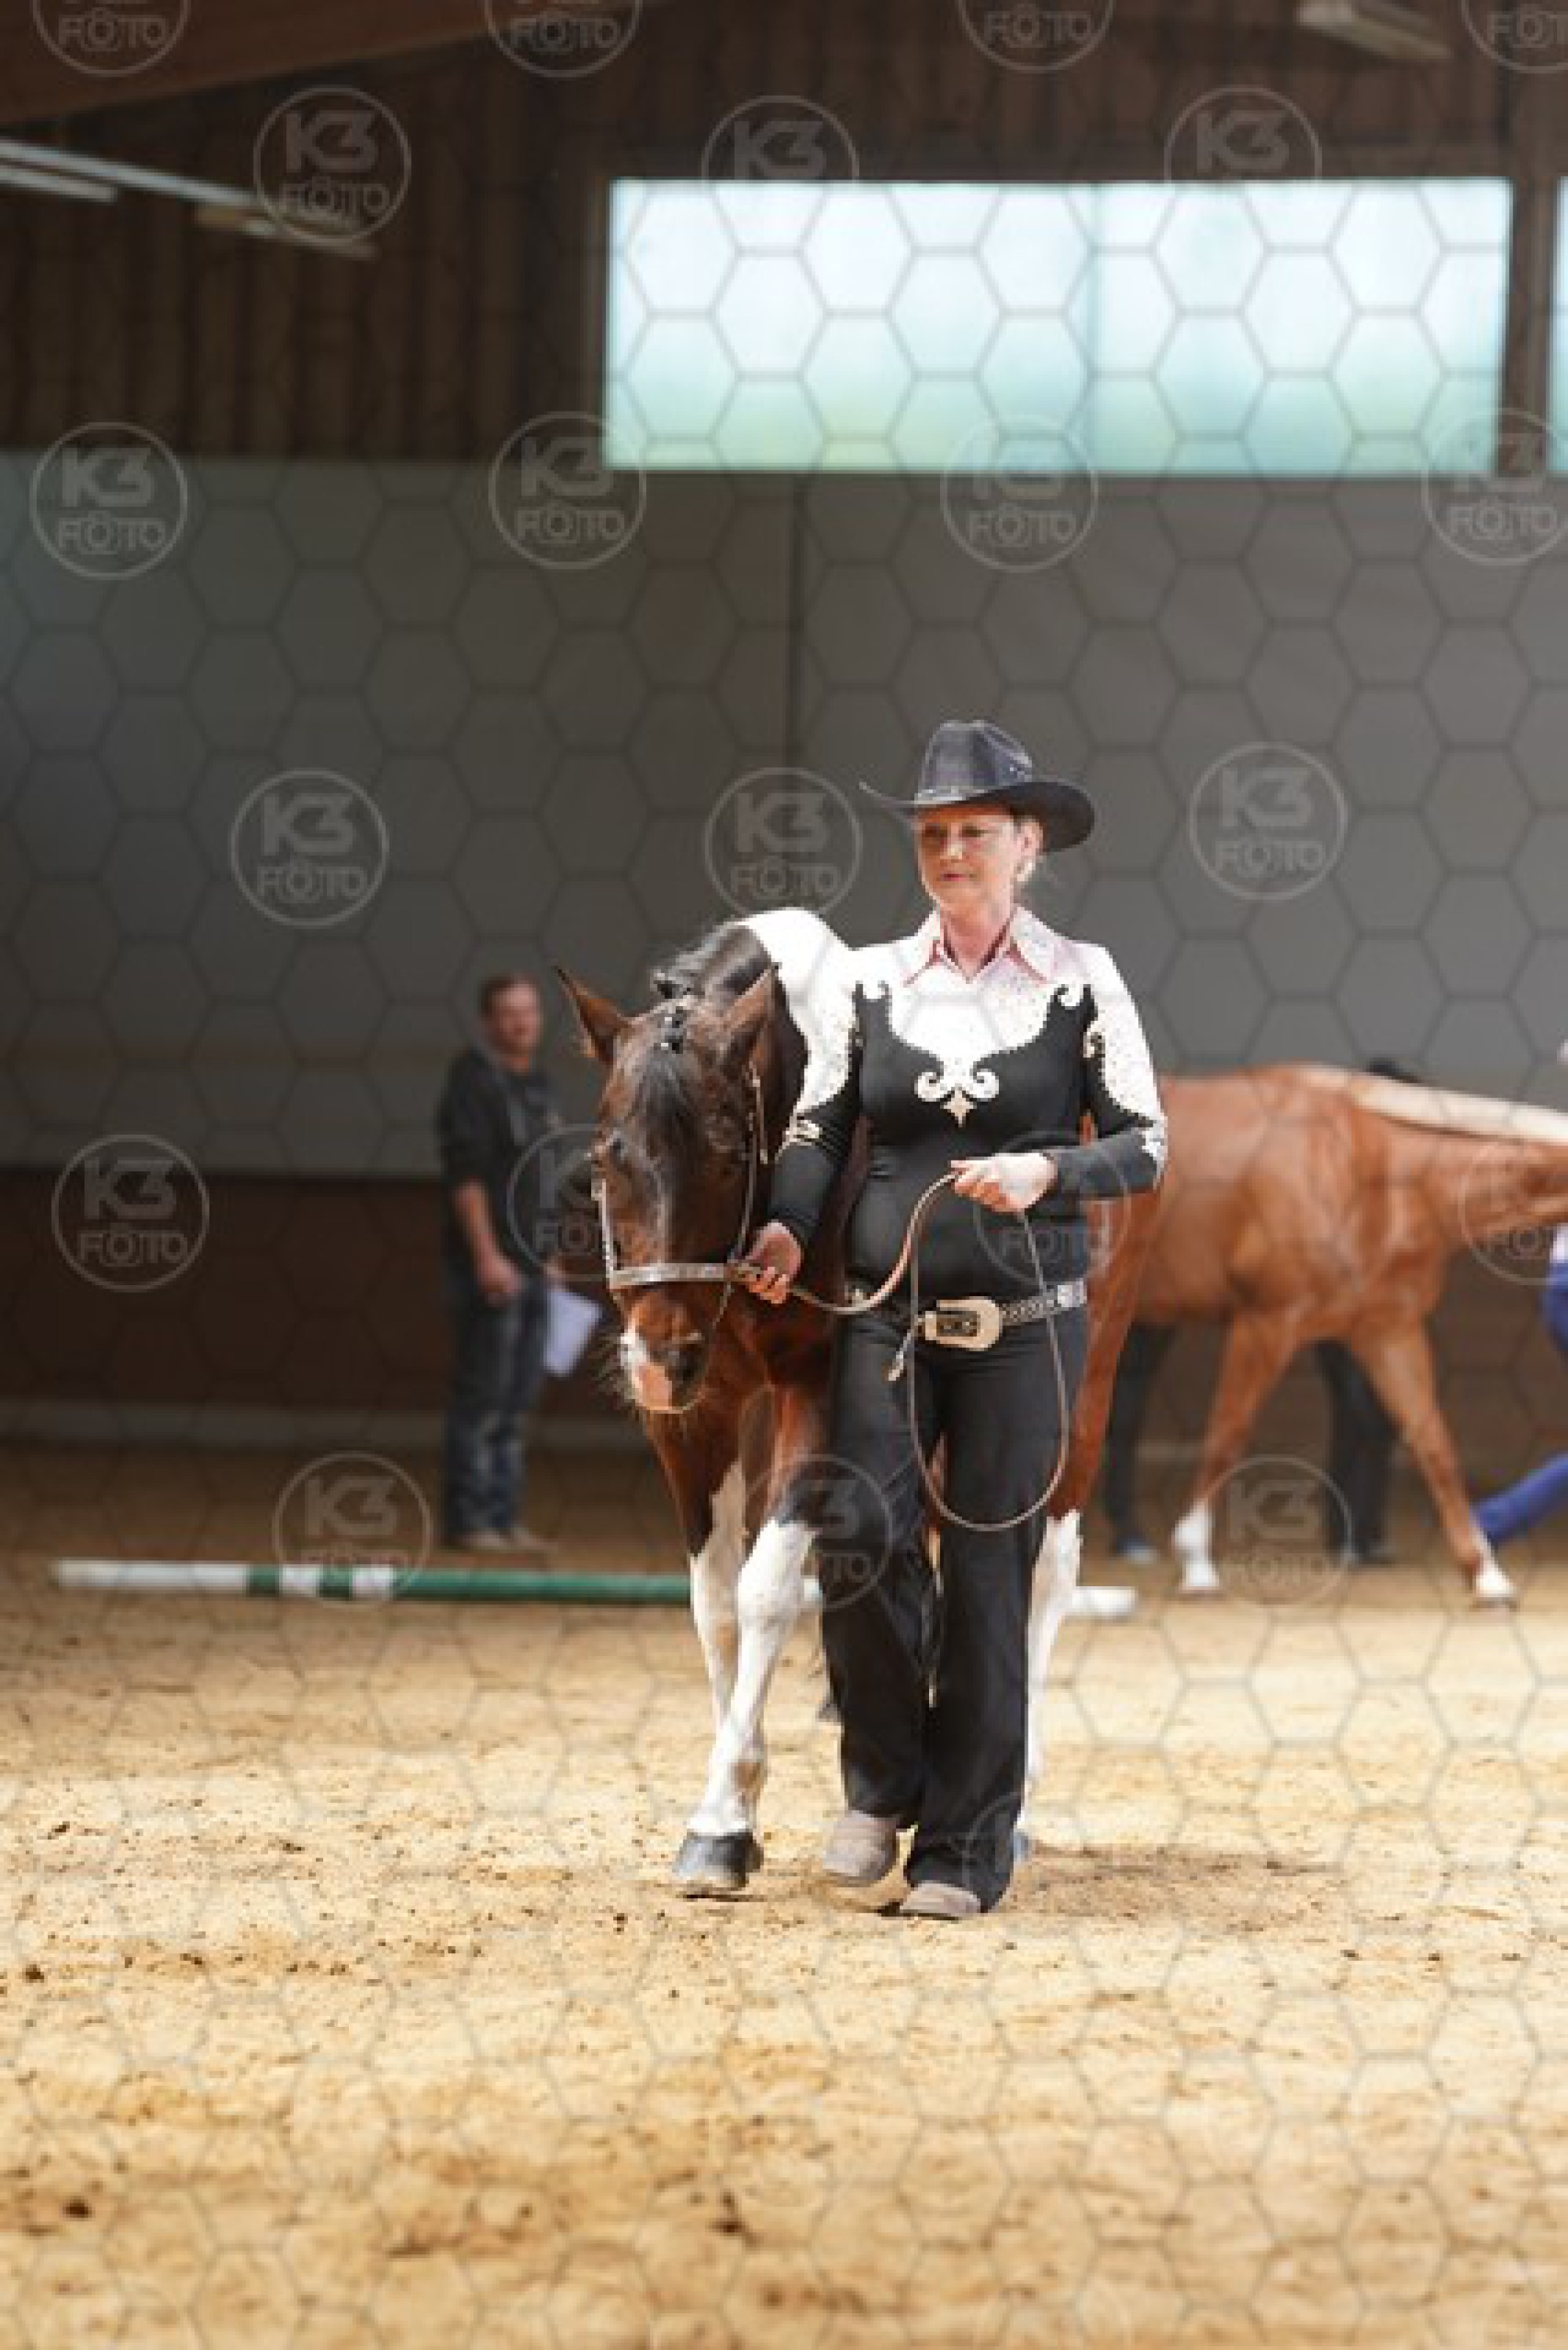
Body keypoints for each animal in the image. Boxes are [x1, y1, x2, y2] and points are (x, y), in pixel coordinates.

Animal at [1131, 1065, 1568, 1606]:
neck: (1370, 1169)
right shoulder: (1265, 1323)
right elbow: (1226, 1435)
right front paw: (1196, 1563)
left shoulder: (1389, 1333)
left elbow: (1435, 1445)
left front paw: (1486, 1575)